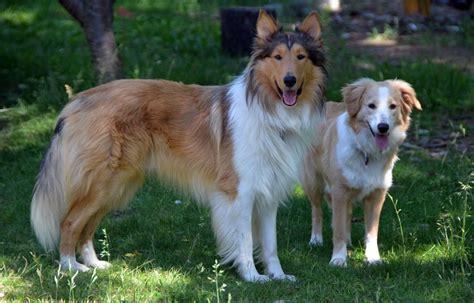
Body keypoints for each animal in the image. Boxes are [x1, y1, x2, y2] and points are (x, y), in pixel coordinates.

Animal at [302, 79, 420, 268]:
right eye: (371, 106)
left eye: (392, 106)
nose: (383, 127)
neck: (366, 151)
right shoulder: (339, 192)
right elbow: (338, 229)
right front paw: (338, 259)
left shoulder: (377, 195)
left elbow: (371, 232)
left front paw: (372, 258)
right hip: (313, 182)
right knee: (316, 210)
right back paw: (316, 240)